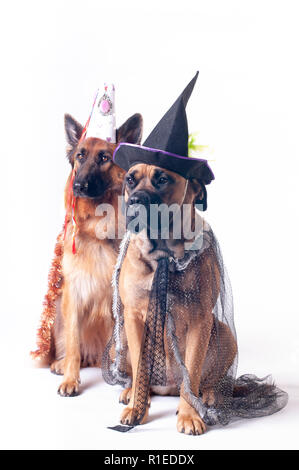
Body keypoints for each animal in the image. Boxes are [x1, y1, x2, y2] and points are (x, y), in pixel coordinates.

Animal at [50, 114, 143, 396]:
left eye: (104, 157)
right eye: (80, 156)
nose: (79, 185)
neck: (98, 225)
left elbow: (129, 348)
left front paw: (132, 387)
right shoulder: (73, 292)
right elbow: (72, 342)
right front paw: (70, 379)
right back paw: (62, 364)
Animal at [116, 164, 238, 434]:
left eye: (162, 179)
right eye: (130, 180)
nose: (135, 200)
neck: (163, 254)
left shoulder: (200, 321)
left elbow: (191, 372)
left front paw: (189, 415)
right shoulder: (133, 316)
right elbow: (140, 367)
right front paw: (136, 408)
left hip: (225, 334)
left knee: (207, 380)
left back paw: (210, 395)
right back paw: (130, 391)